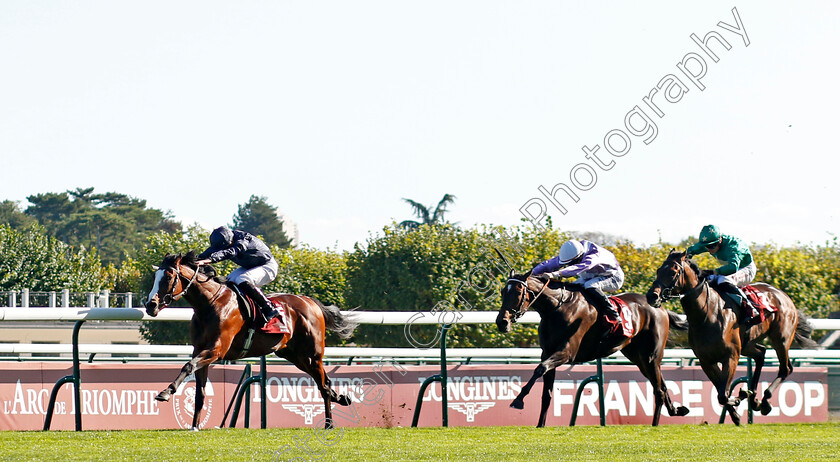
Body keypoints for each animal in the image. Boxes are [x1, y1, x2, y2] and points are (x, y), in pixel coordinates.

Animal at [144, 253, 354, 430]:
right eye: (155, 277)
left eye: (168, 276)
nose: (150, 305)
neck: (210, 304)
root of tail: (311, 303)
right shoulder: (200, 350)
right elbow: (199, 391)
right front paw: (194, 426)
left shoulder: (216, 350)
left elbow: (188, 366)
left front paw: (166, 392)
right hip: (295, 356)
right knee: (324, 382)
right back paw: (341, 398)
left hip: (312, 355)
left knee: (323, 385)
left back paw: (329, 423)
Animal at [496, 270, 684, 426]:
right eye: (503, 291)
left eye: (518, 291)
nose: (501, 322)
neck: (557, 307)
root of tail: (661, 308)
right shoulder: (547, 353)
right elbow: (546, 393)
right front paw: (540, 425)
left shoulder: (567, 352)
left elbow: (539, 369)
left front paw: (518, 400)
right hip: (639, 358)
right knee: (661, 385)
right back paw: (676, 410)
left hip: (651, 356)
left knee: (658, 390)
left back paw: (655, 424)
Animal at [648, 251, 816, 424]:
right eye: (658, 270)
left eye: (673, 272)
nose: (651, 296)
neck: (706, 314)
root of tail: (783, 295)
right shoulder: (706, 361)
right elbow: (720, 391)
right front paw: (737, 413)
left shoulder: (731, 356)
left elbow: (723, 394)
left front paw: (740, 396)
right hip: (747, 344)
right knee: (761, 353)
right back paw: (755, 399)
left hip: (781, 339)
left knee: (785, 368)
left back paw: (765, 401)